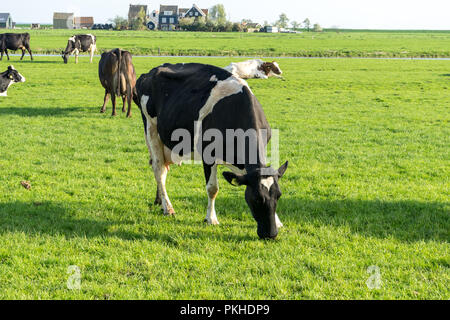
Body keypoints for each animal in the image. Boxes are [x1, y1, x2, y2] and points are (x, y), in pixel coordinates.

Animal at [134, 63, 288, 240]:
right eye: (256, 198)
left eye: (279, 195)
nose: (271, 234)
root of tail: (151, 71)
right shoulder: (208, 155)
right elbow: (213, 188)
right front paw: (211, 219)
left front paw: (278, 221)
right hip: (151, 129)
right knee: (159, 170)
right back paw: (168, 208)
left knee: (162, 171)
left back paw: (160, 203)